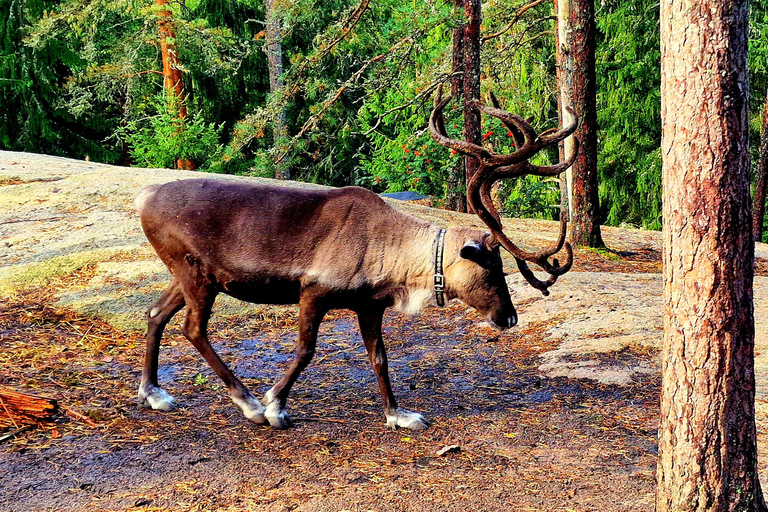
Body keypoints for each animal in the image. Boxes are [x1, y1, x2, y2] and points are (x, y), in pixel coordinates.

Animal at [135, 87, 578, 431]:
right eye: (490, 267)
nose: (509, 318)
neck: (395, 255)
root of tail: (145, 197)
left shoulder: (369, 305)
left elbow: (379, 358)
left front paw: (398, 414)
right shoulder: (312, 291)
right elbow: (306, 350)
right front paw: (275, 405)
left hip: (184, 275)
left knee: (156, 314)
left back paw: (154, 393)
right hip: (198, 276)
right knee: (193, 329)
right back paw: (249, 404)